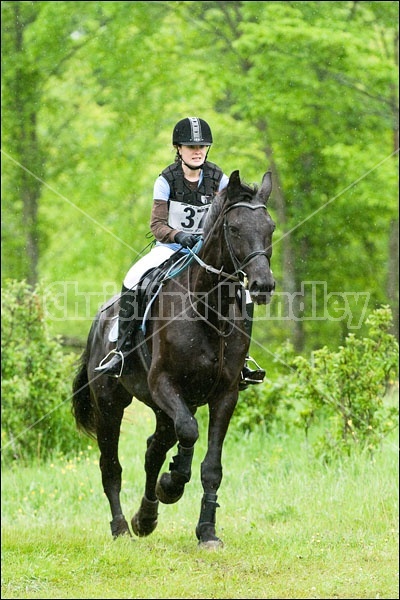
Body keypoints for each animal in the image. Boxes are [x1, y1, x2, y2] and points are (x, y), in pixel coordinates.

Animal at [72, 169, 276, 548]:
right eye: (235, 228)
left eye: (269, 227)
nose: (262, 286)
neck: (208, 311)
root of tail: (101, 317)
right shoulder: (164, 383)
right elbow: (189, 432)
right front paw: (172, 484)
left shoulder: (225, 394)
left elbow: (211, 466)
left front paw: (207, 530)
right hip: (111, 403)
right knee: (112, 465)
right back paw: (122, 527)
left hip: (160, 407)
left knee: (155, 448)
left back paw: (146, 517)